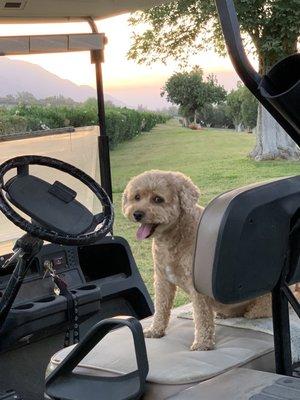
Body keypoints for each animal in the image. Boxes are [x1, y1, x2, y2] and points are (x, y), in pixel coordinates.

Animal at [122, 171, 300, 350]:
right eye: (137, 197)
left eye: (158, 199)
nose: (137, 214)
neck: (175, 236)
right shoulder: (162, 280)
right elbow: (161, 307)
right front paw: (155, 330)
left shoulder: (197, 285)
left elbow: (201, 316)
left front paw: (202, 343)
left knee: (256, 312)